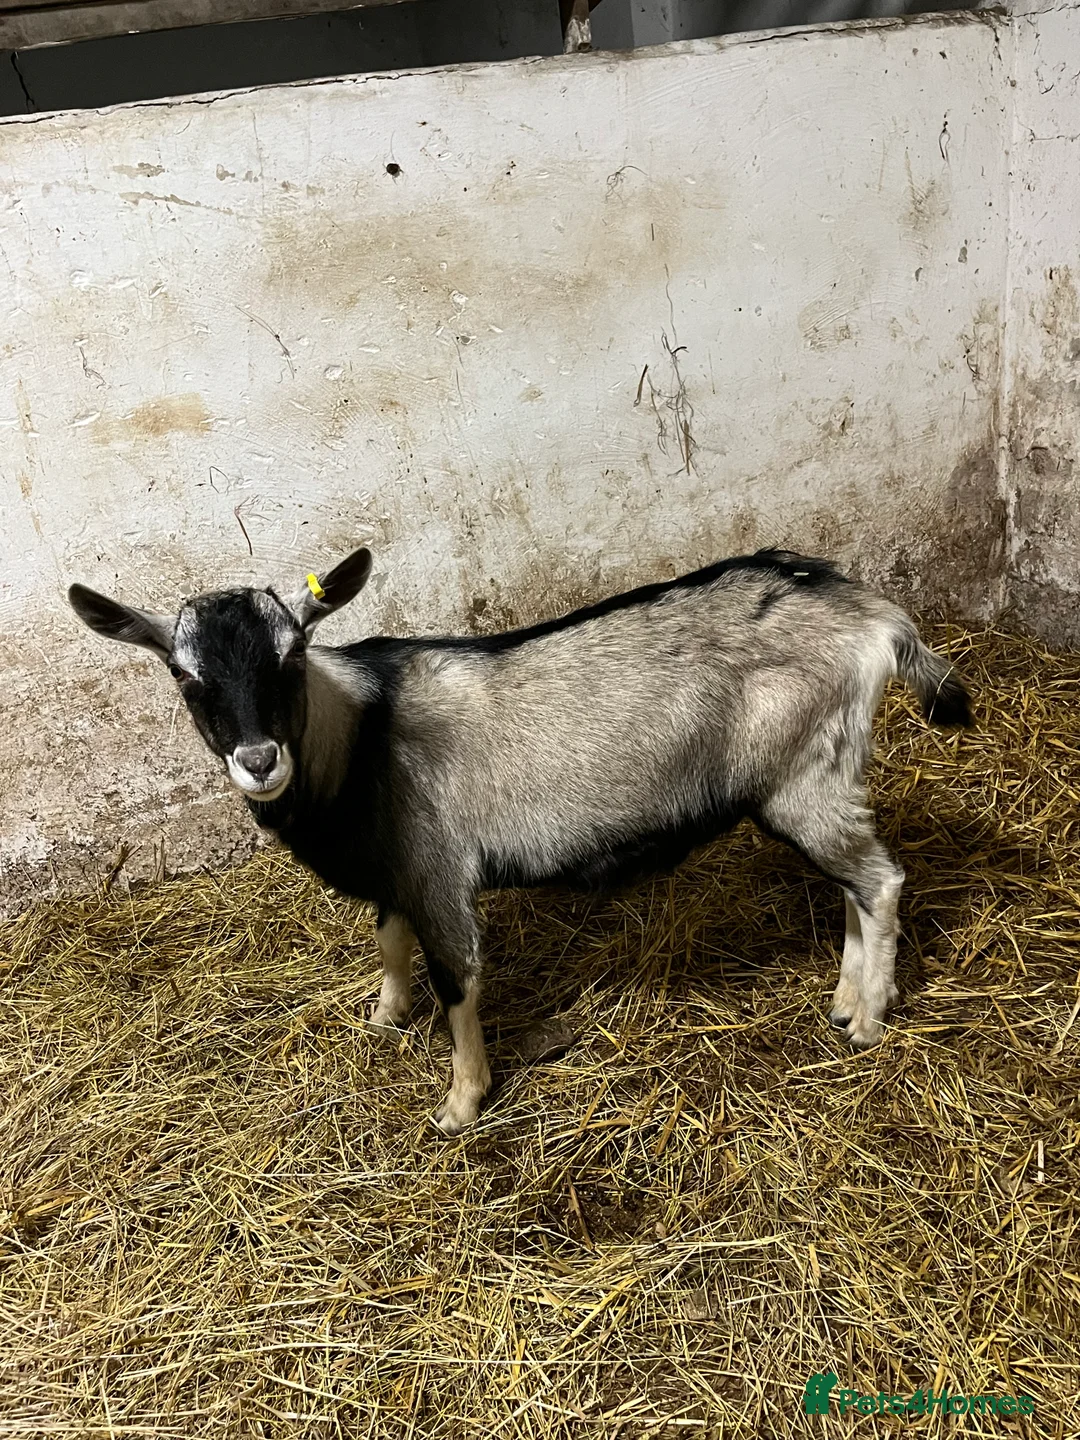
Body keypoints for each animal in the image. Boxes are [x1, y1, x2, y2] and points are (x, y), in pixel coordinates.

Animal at [69, 547, 971, 1135]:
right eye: (185, 675)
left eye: (291, 658)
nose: (259, 761)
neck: (356, 736)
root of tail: (874, 618)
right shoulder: (396, 869)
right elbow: (390, 941)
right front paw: (384, 1017)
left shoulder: (436, 869)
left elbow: (457, 977)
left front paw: (461, 1103)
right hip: (816, 778)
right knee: (854, 884)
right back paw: (846, 998)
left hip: (804, 779)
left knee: (880, 881)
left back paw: (868, 1020)